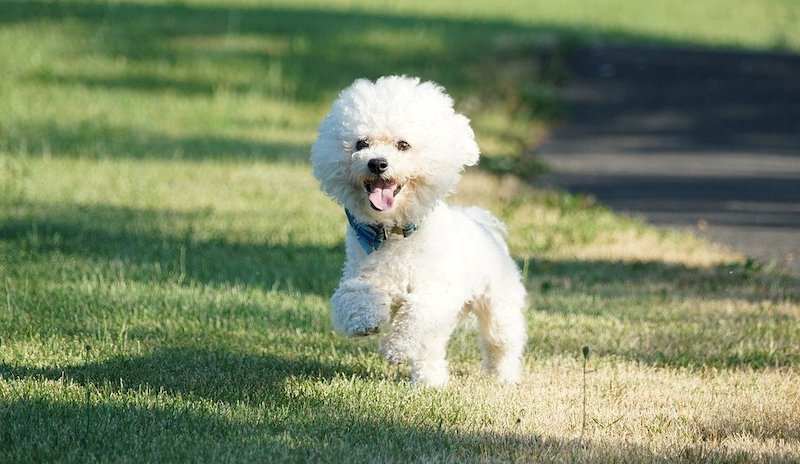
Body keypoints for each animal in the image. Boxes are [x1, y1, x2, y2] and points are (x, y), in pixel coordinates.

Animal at [310, 77, 528, 388]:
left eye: (403, 145)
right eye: (361, 143)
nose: (377, 163)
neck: (395, 233)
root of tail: (481, 222)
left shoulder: (437, 292)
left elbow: (416, 316)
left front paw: (396, 348)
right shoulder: (362, 275)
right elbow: (353, 296)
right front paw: (365, 321)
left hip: (498, 303)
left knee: (501, 342)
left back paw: (503, 377)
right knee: (432, 349)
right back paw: (430, 381)